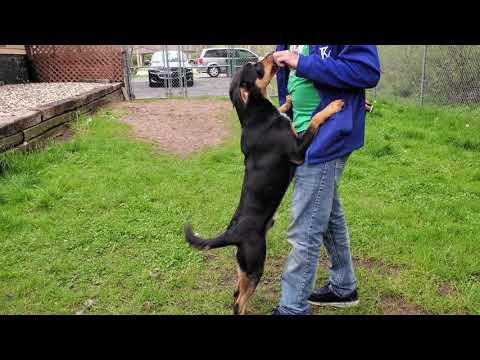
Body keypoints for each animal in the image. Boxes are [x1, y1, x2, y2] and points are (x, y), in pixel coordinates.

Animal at [184, 53, 344, 316]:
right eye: (257, 68)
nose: (272, 56)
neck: (253, 117)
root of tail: (233, 233)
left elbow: (285, 110)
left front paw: (287, 101)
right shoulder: (297, 151)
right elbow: (314, 121)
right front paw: (332, 107)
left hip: (243, 266)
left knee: (236, 293)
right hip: (256, 263)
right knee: (239, 302)